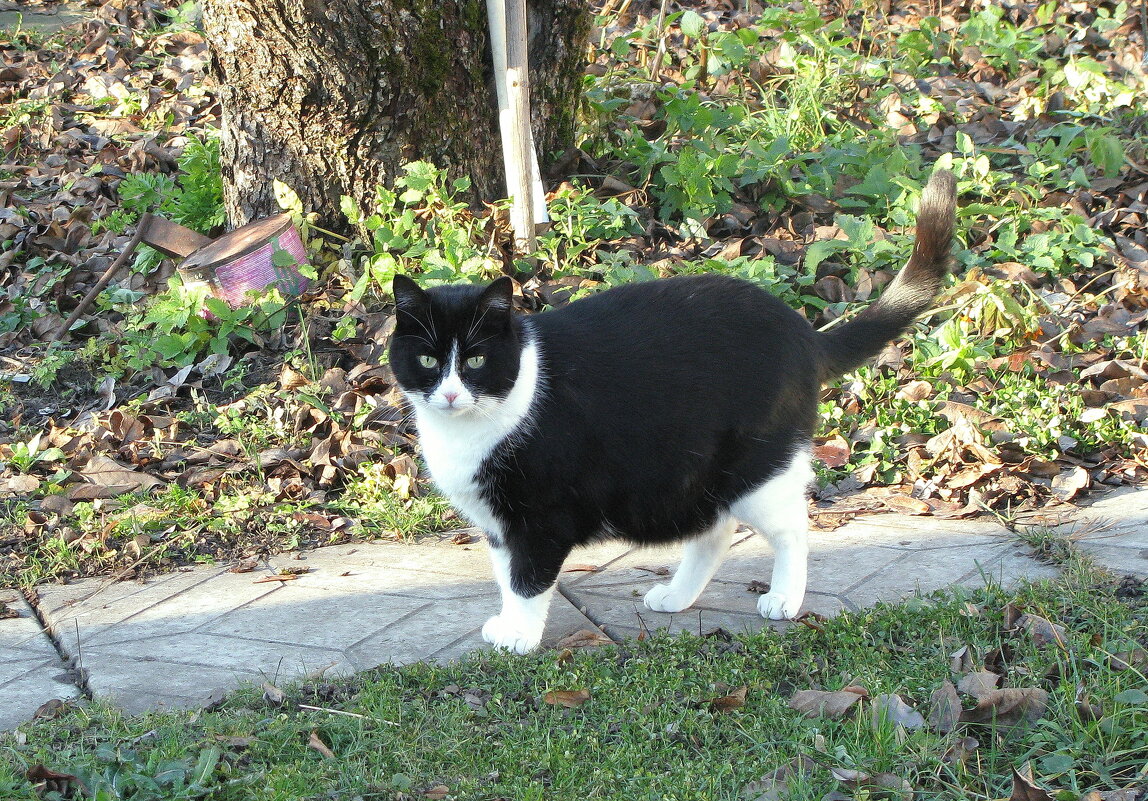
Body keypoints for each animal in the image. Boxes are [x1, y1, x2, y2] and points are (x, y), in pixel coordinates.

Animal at [390, 172, 955, 651]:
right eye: (428, 360)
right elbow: (507, 578)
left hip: (756, 469)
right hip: (691, 474)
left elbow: (527, 580)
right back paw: (677, 597)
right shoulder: (497, 524)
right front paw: (509, 624)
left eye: (477, 361)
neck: (467, 432)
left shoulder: (542, 518)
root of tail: (802, 331)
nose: (450, 394)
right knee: (715, 530)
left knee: (791, 526)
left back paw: (783, 598)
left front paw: (521, 639)